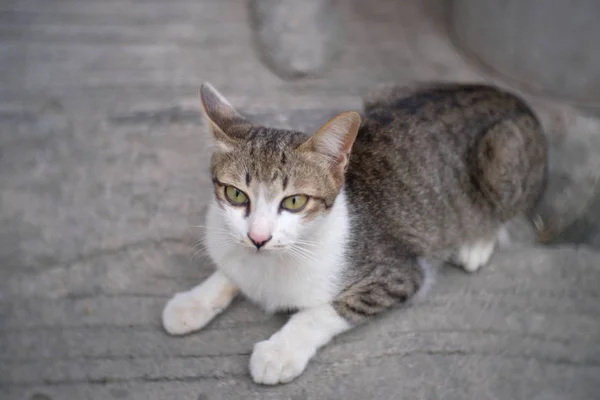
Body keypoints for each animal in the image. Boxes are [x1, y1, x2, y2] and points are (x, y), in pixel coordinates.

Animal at [161, 81, 548, 384]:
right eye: (236, 194)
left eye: (295, 201)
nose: (259, 238)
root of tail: (510, 97)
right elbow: (230, 270)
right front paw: (195, 300)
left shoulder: (400, 274)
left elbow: (324, 311)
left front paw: (280, 351)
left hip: (500, 157)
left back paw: (476, 243)